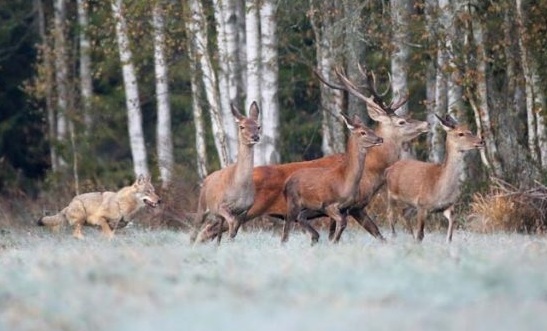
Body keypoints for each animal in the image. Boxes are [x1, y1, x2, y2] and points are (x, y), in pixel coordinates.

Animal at [192, 102, 262, 245]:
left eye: (258, 126)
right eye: (242, 126)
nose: (255, 137)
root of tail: (207, 178)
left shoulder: (245, 209)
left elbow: (235, 229)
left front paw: (230, 242)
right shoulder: (221, 205)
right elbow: (232, 223)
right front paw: (230, 242)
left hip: (217, 215)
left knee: (217, 231)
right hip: (203, 205)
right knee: (195, 229)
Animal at [284, 113, 384, 245]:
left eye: (371, 129)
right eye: (363, 132)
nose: (380, 139)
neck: (345, 181)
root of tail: (286, 183)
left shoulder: (344, 208)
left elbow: (341, 226)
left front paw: (333, 243)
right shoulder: (329, 204)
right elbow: (341, 223)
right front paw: (333, 243)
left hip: (313, 207)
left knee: (301, 217)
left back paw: (314, 237)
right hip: (293, 202)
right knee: (286, 228)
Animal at [386, 115, 484, 244]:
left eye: (470, 131)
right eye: (460, 133)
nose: (481, 141)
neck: (440, 188)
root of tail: (389, 168)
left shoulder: (447, 206)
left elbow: (450, 232)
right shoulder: (422, 205)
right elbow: (420, 234)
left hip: (411, 203)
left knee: (404, 213)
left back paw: (410, 238)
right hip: (391, 194)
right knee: (391, 216)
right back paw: (394, 237)